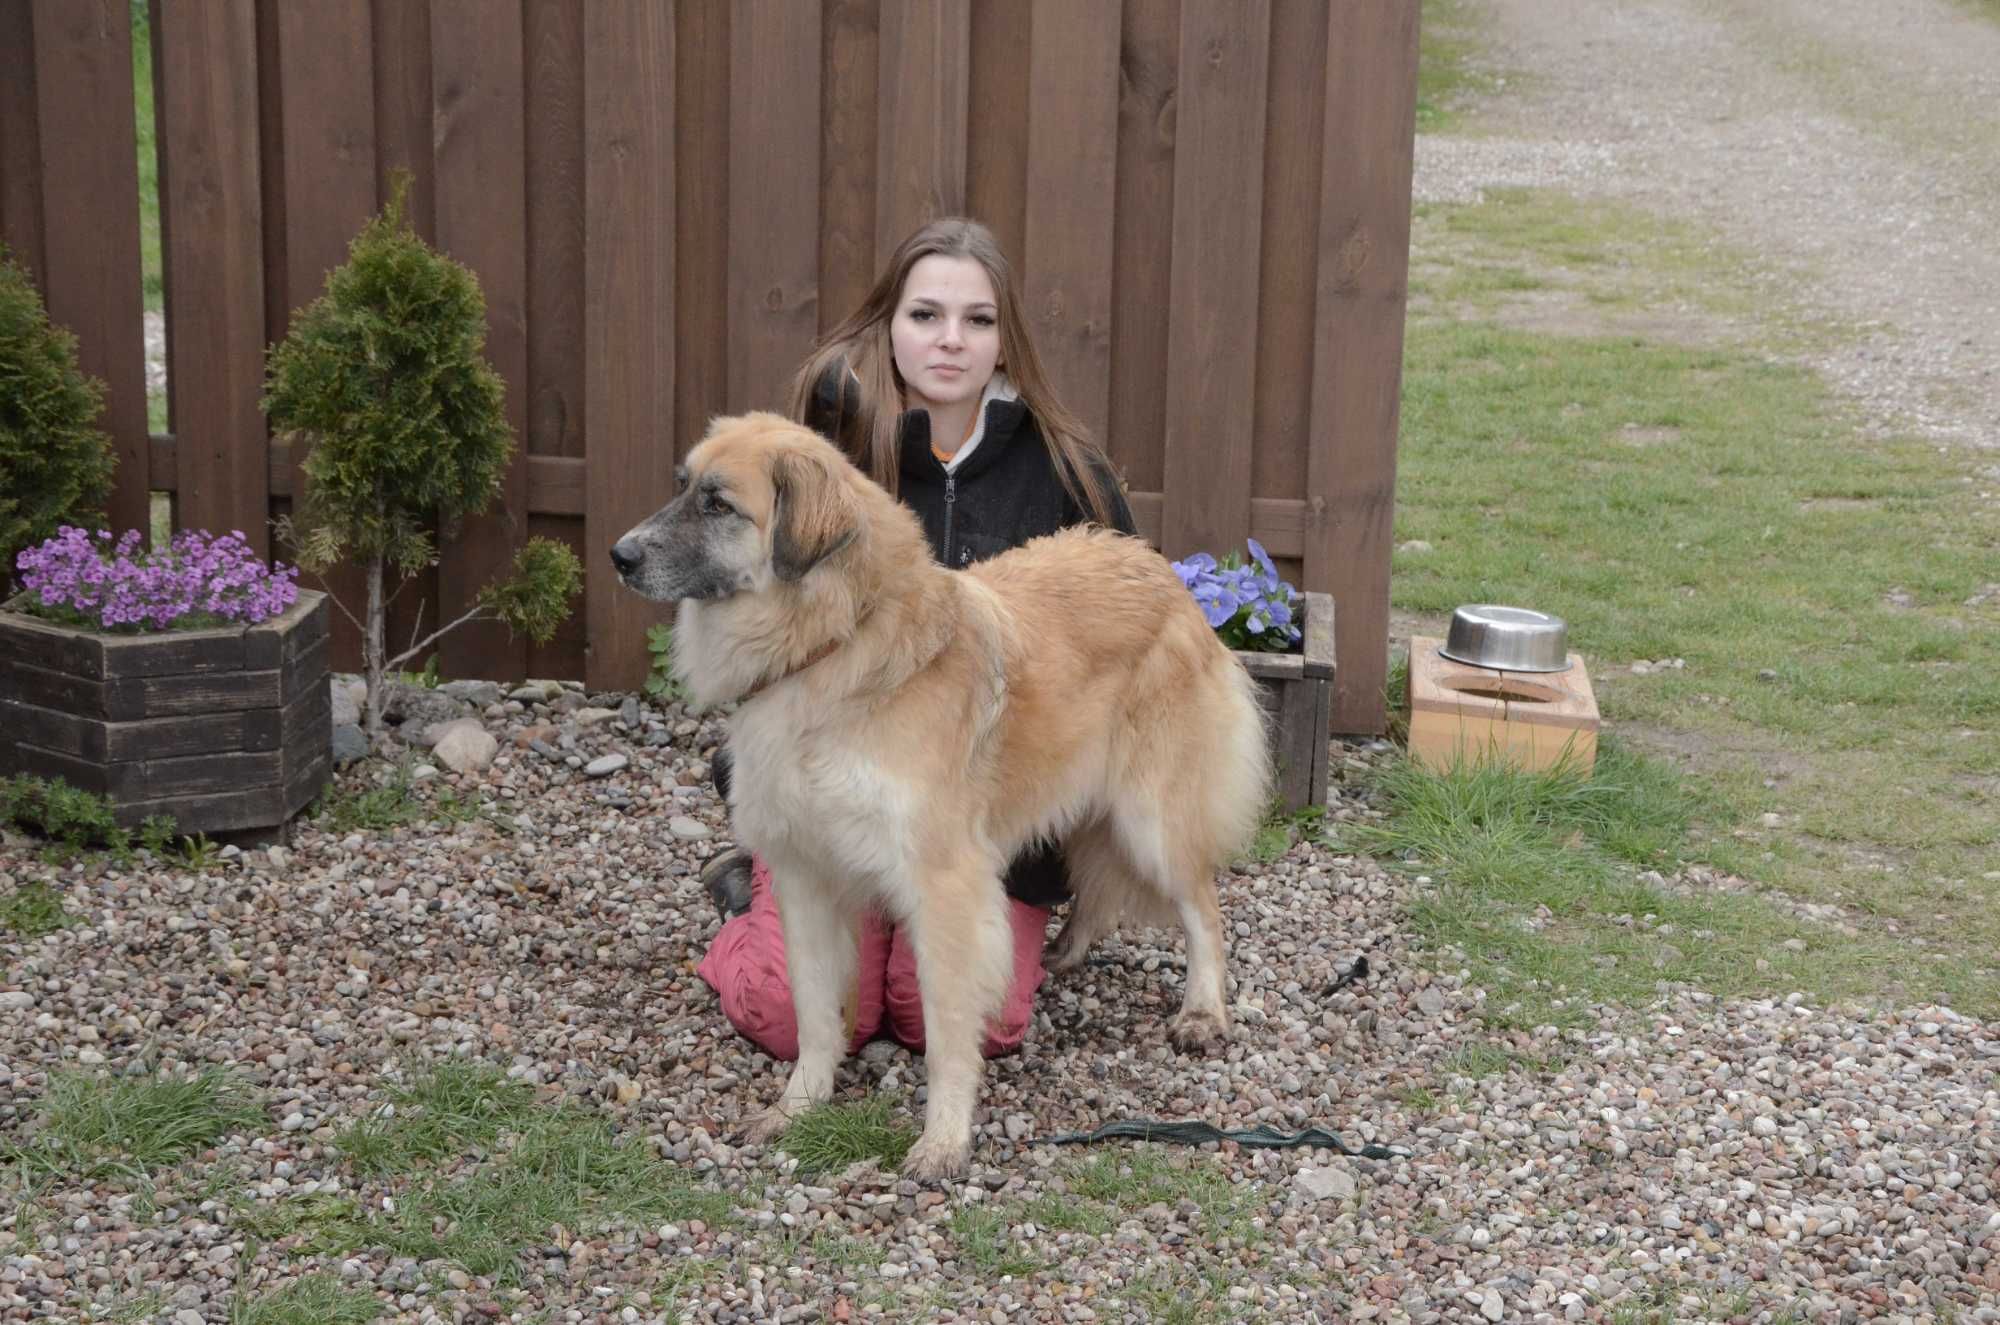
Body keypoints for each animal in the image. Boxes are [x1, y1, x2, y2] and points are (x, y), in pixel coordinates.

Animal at [608, 416, 1264, 1184]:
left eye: (719, 504)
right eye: (682, 487)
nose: (619, 556)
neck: (836, 645)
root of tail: (1159, 568)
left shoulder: (944, 886)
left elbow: (948, 1026)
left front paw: (945, 1139)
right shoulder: (806, 876)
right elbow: (812, 1009)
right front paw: (799, 1104)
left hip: (1150, 819)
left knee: (1204, 910)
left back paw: (1202, 1012)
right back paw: (1069, 949)